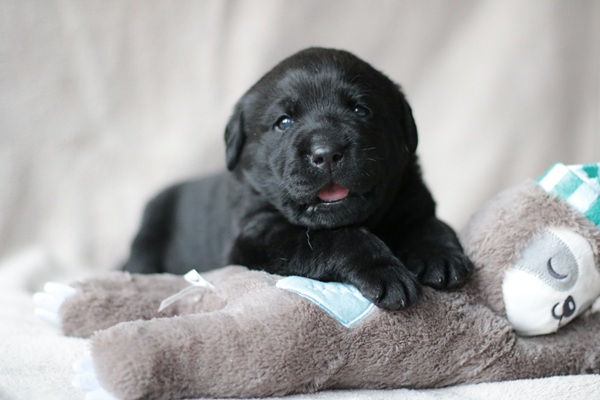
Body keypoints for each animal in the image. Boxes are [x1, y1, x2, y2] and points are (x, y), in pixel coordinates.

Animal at [123, 48, 473, 310]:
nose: (327, 152)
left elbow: (430, 223)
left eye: (361, 110)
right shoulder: (258, 234)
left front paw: (440, 257)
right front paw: (385, 272)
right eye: (284, 122)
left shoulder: (412, 197)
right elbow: (337, 238)